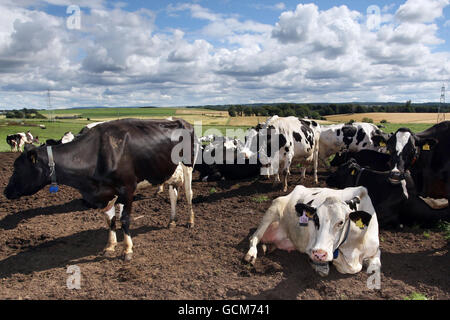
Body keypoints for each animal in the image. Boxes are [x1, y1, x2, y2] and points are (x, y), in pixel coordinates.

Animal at [4, 119, 199, 262]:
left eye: (17, 169)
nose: (6, 192)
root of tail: (183, 122)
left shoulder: (127, 189)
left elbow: (125, 220)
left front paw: (127, 250)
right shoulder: (106, 193)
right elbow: (110, 220)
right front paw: (110, 246)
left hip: (188, 166)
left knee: (189, 194)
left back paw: (190, 221)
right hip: (169, 171)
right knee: (173, 195)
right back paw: (172, 220)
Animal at [244, 185, 382, 278]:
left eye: (341, 222)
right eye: (315, 219)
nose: (320, 253)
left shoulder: (375, 249)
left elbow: (375, 266)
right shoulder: (311, 246)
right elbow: (349, 268)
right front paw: (323, 266)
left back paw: (266, 247)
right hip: (273, 208)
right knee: (254, 237)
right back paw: (251, 254)